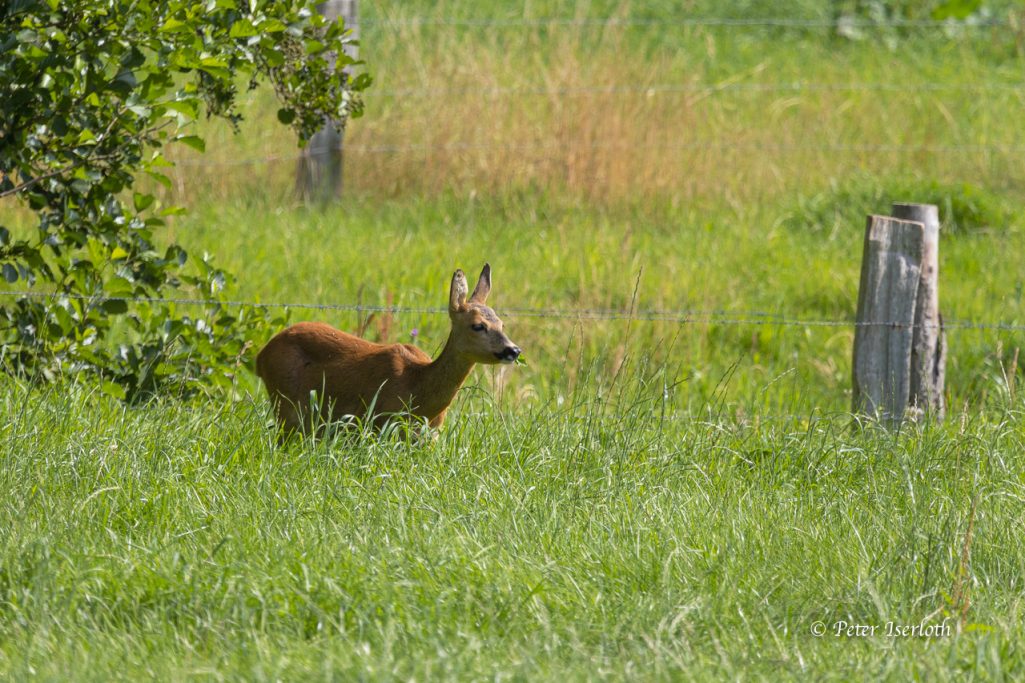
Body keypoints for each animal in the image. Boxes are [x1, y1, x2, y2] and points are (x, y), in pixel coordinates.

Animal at [252, 262, 516, 432]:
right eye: (478, 325)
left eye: (501, 323)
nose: (513, 350)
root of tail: (260, 356)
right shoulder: (381, 422)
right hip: (287, 405)